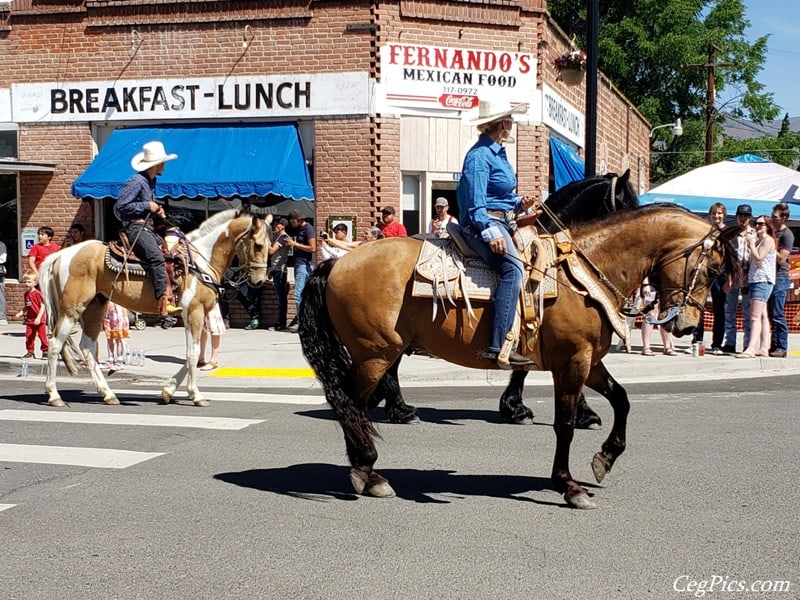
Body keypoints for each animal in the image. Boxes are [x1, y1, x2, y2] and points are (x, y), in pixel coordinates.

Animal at [39, 210, 270, 408]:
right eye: (258, 245)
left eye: (271, 246)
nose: (260, 281)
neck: (200, 262)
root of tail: (62, 255)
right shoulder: (193, 311)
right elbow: (193, 353)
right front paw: (196, 395)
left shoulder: (197, 313)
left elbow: (193, 353)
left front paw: (169, 390)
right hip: (72, 309)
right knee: (55, 344)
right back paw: (54, 395)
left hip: (96, 306)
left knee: (87, 347)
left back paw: (108, 394)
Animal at [298, 205, 736, 506]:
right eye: (714, 269)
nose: (689, 328)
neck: (584, 274)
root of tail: (337, 262)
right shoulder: (572, 362)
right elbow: (565, 424)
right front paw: (568, 485)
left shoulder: (590, 361)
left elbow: (622, 400)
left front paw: (605, 458)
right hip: (375, 353)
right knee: (351, 405)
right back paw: (368, 473)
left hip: (380, 353)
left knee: (353, 405)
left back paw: (368, 465)